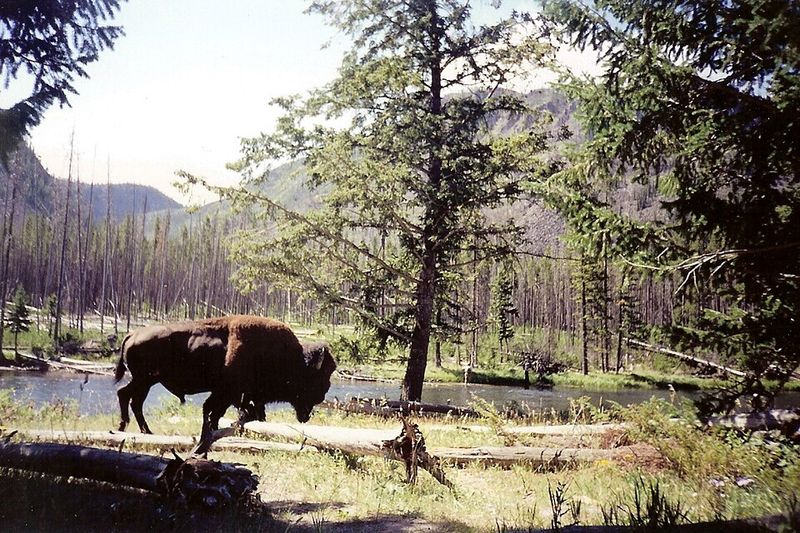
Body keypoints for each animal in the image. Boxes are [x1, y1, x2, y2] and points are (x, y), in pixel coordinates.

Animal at [114, 315, 336, 451]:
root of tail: (133, 333)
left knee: (131, 398)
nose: (323, 394)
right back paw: (133, 429)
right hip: (144, 379)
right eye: (319, 375)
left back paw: (141, 430)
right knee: (128, 396)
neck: (288, 357)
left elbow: (226, 413)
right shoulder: (229, 393)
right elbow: (213, 412)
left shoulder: (235, 396)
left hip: (146, 381)